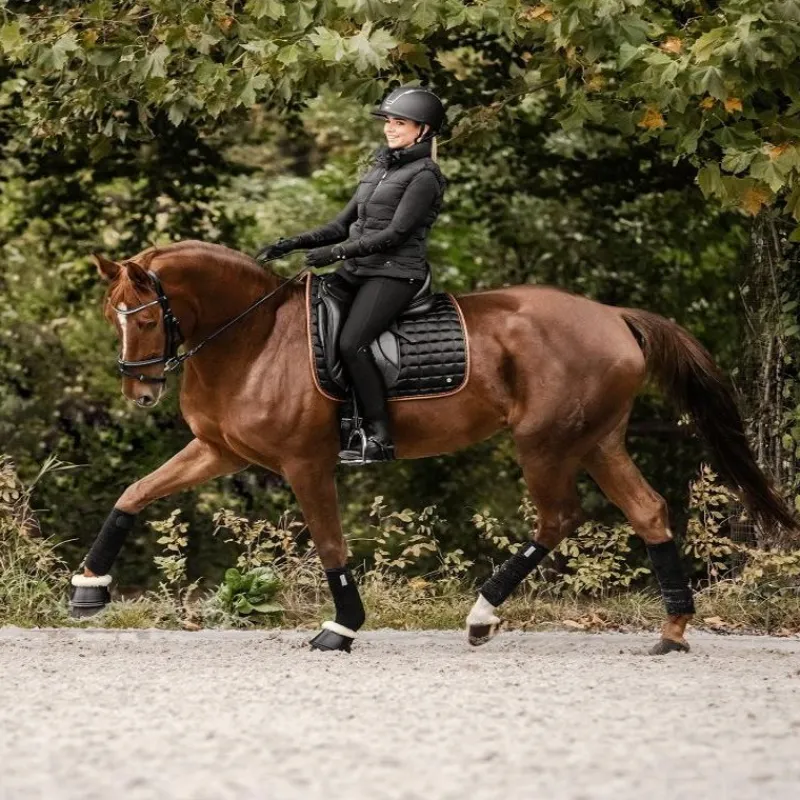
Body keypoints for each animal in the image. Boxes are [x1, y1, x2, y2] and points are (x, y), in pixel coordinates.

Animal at [73, 239, 794, 654]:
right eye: (111, 316)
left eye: (143, 317)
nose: (139, 392)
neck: (252, 338)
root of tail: (613, 316)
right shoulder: (219, 450)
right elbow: (133, 494)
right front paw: (89, 587)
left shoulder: (305, 464)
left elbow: (330, 544)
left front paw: (341, 627)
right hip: (597, 440)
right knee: (647, 512)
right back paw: (671, 633)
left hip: (545, 442)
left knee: (559, 518)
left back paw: (482, 615)